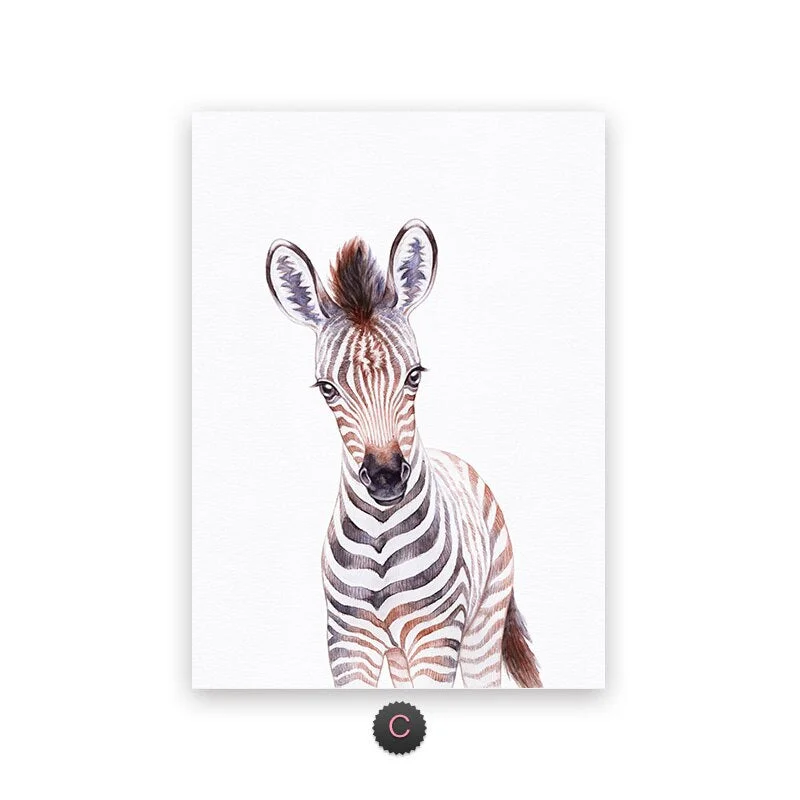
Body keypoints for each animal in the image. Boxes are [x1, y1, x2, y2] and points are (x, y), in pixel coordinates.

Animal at [266, 219, 542, 688]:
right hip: (398, 654)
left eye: (414, 376)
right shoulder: (348, 644)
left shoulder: (436, 639)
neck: (379, 538)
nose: (386, 477)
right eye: (327, 389)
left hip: (483, 626)